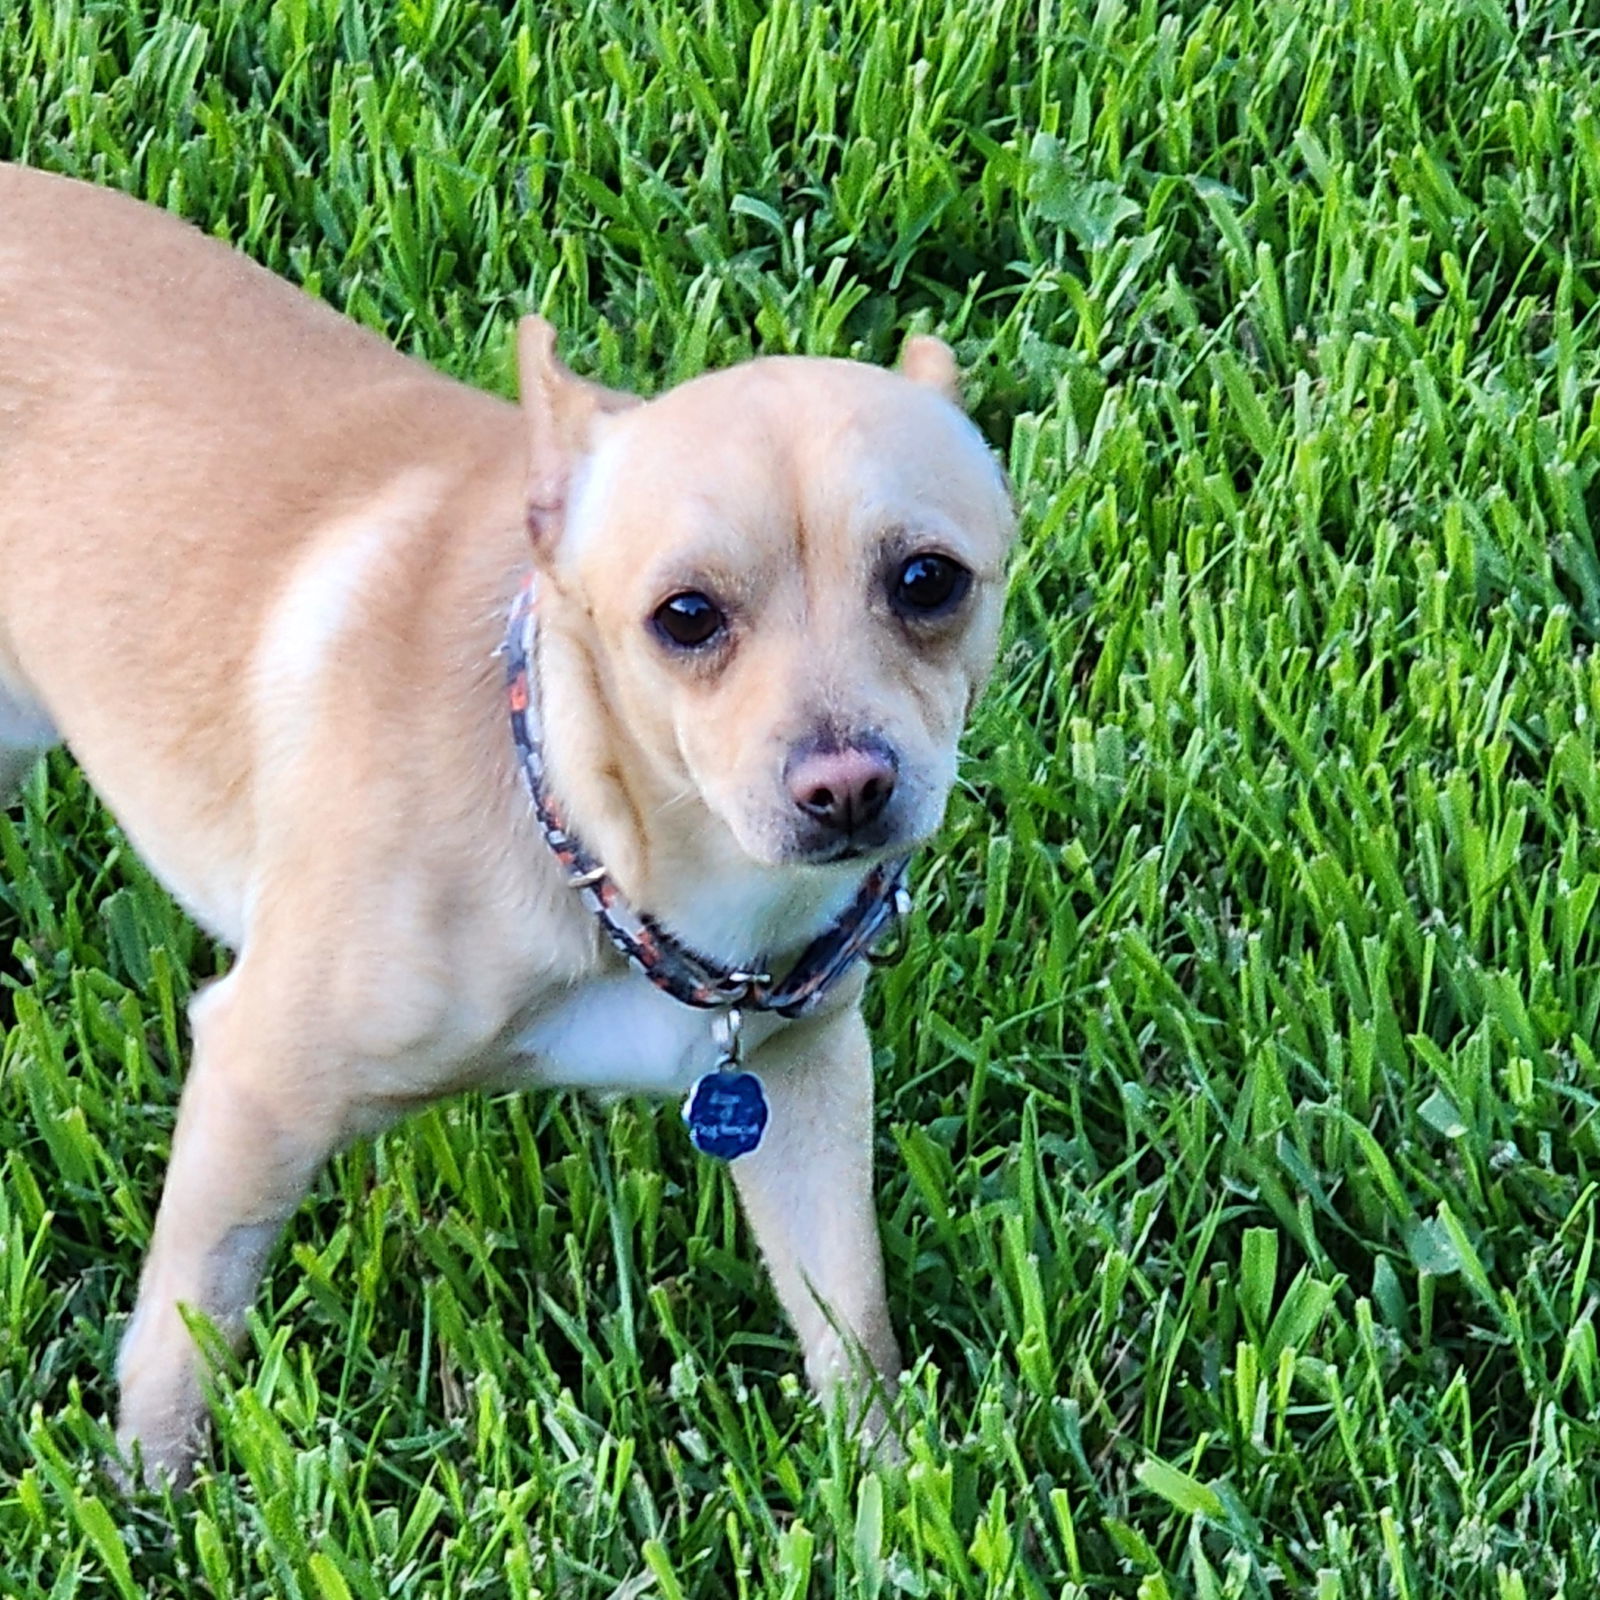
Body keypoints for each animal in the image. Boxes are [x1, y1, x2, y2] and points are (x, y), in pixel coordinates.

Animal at [0, 165, 1017, 1484]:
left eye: (928, 581)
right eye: (684, 616)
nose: (846, 785)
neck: (593, 844)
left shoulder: (802, 1080)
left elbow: (850, 1318)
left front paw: (889, 1488)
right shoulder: (257, 1085)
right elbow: (188, 1327)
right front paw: (149, 1494)